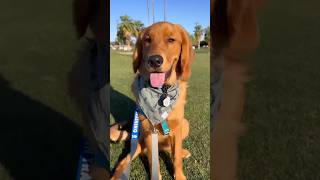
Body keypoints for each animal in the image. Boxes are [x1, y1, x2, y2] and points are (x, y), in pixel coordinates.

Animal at [110, 22, 195, 180]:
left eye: (171, 40)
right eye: (147, 40)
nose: (154, 60)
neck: (162, 92)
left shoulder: (177, 128)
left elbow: (176, 157)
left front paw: (179, 175)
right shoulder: (150, 132)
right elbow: (153, 162)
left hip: (185, 124)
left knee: (169, 149)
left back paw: (183, 152)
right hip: (138, 142)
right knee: (124, 162)